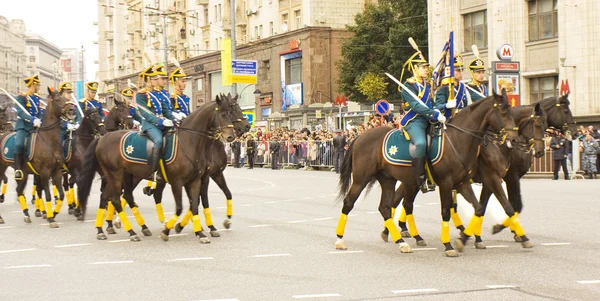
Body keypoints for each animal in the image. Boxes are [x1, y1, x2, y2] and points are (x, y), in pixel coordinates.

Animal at [0, 88, 72, 226]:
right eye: (57, 99)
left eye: (64, 98)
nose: (72, 110)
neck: (49, 141)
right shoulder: (44, 173)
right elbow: (47, 194)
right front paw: (50, 218)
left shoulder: (56, 172)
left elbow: (61, 194)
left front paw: (53, 213)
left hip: (23, 173)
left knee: (19, 190)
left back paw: (27, 214)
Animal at [78, 94, 238, 241]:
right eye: (224, 114)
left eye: (233, 112)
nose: (232, 136)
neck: (190, 142)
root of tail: (102, 138)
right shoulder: (177, 181)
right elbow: (181, 207)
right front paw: (168, 230)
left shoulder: (197, 180)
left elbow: (195, 204)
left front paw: (199, 232)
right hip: (115, 175)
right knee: (116, 199)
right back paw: (130, 231)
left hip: (127, 175)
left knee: (117, 196)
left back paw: (113, 229)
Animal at [336, 91, 516, 255]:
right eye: (502, 111)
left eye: (511, 111)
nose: (514, 139)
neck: (458, 139)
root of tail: (360, 137)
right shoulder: (448, 183)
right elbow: (446, 212)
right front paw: (449, 245)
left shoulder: (463, 183)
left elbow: (480, 208)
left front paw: (464, 238)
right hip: (362, 179)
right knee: (349, 203)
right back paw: (340, 240)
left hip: (389, 179)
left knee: (387, 207)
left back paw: (402, 241)